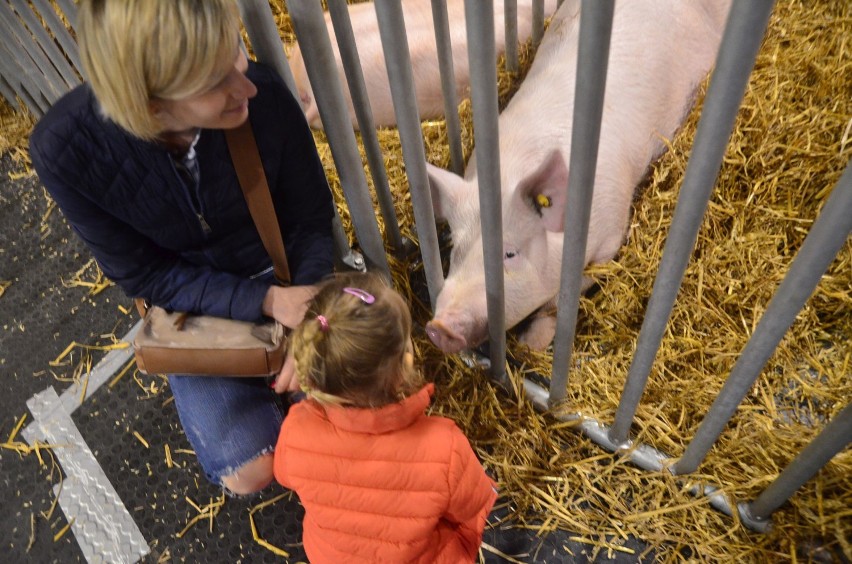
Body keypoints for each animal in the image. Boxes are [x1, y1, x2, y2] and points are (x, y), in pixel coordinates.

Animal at [426, 0, 732, 352]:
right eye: (455, 248)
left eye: (510, 253)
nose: (439, 327)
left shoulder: (610, 238)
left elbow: (560, 301)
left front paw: (531, 344)